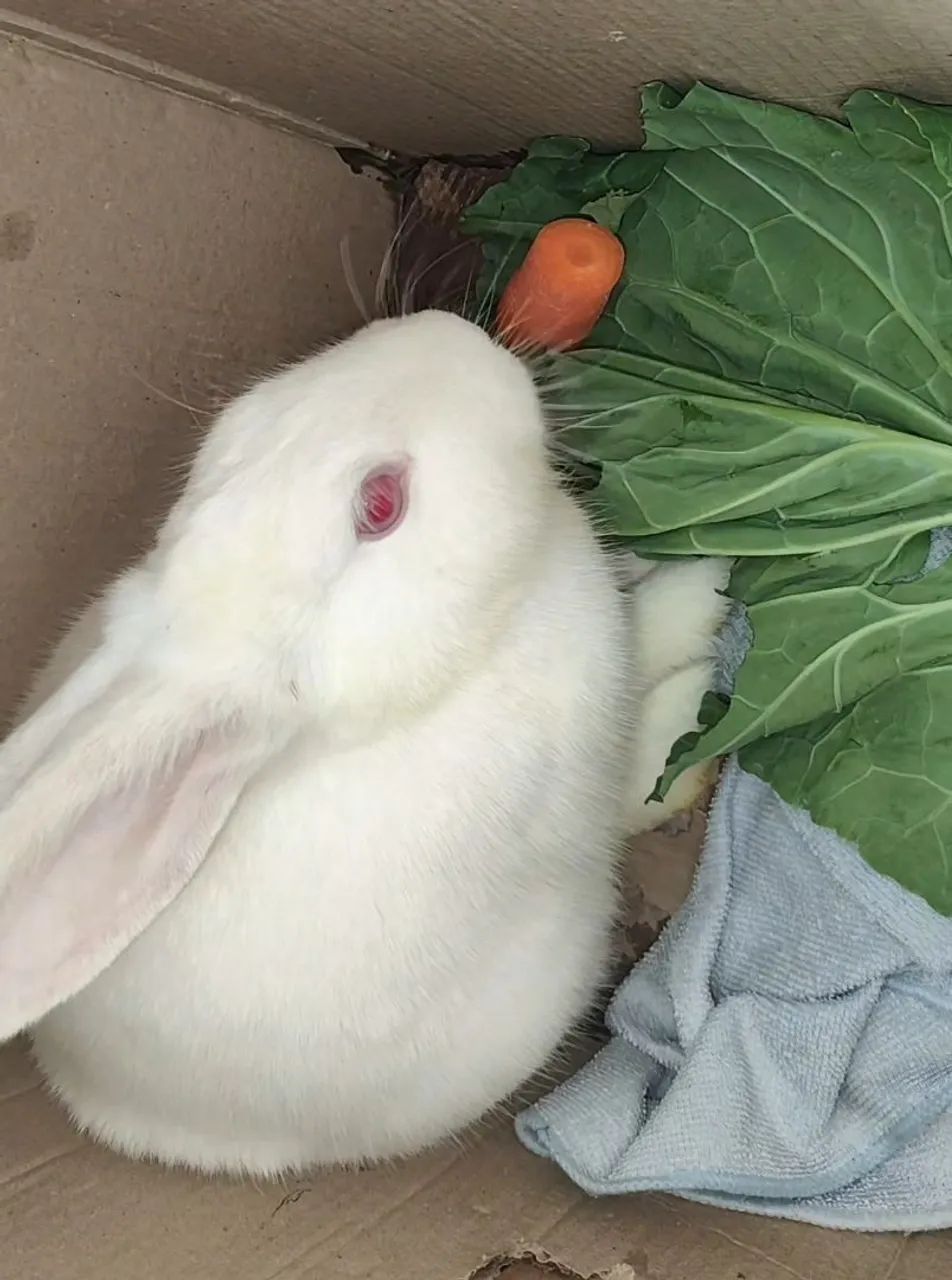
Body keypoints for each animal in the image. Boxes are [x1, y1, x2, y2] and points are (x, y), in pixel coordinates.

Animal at [0, 309, 727, 1176]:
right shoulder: (590, 769)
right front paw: (708, 610)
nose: (451, 329)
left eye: (246, 415)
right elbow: (642, 729)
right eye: (381, 504)